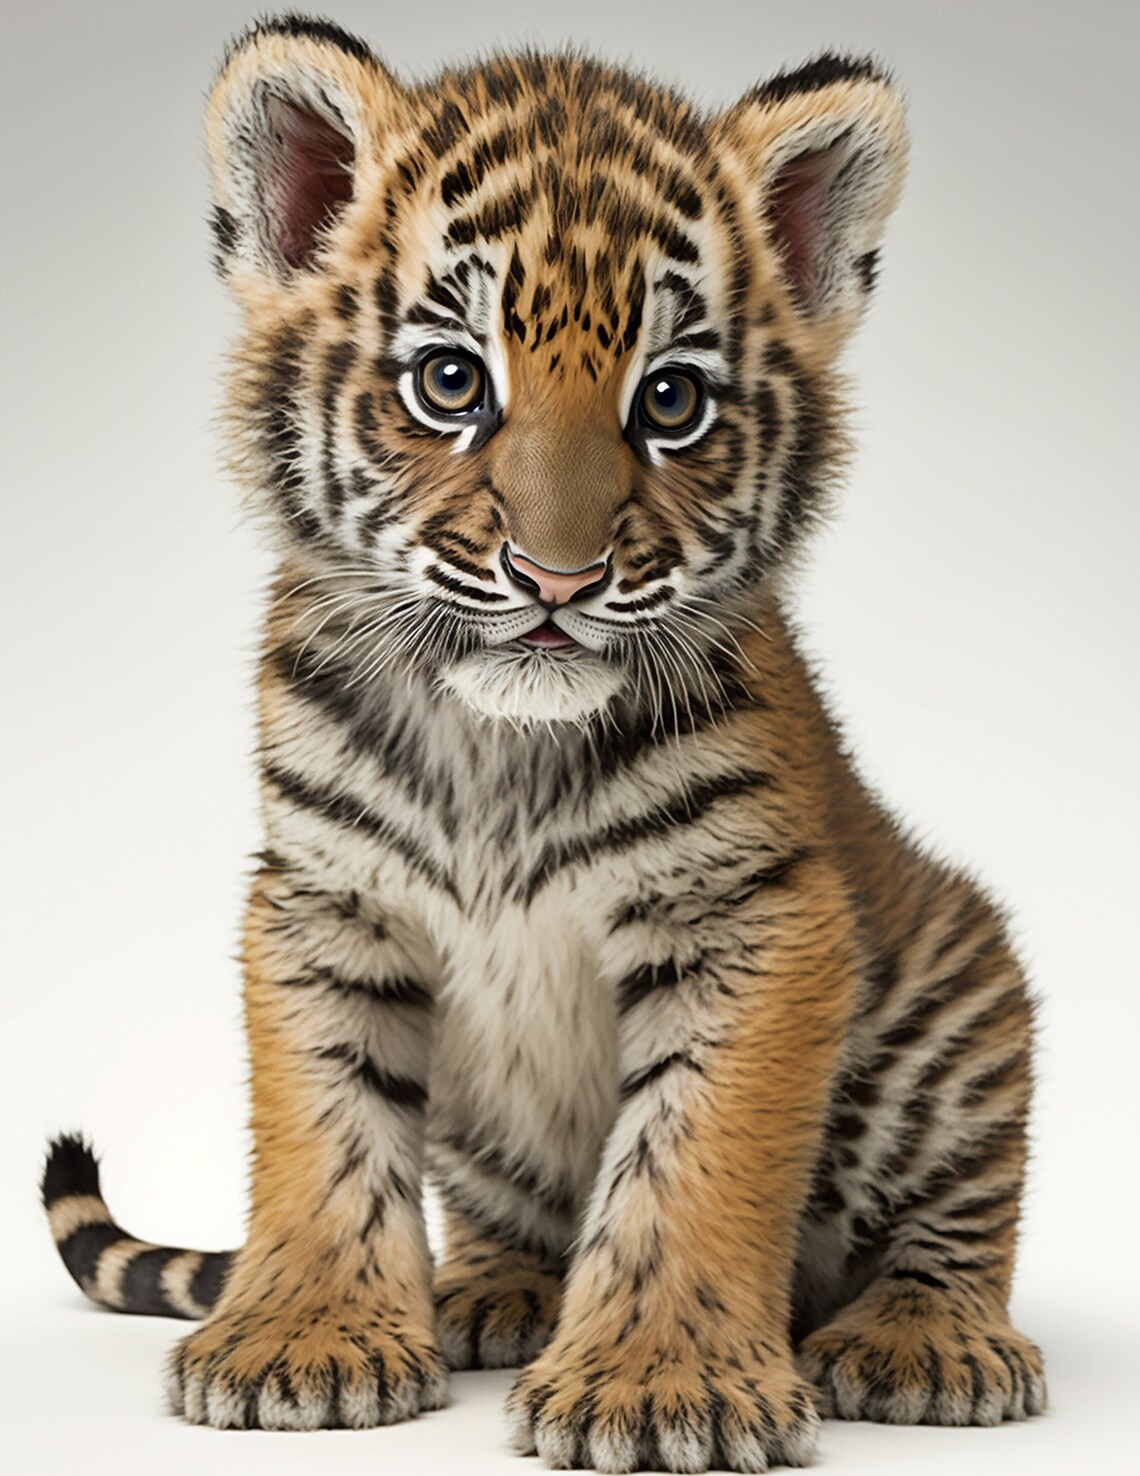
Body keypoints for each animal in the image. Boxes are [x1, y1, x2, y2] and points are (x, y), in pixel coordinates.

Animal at [41, 15, 1046, 1472]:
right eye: (452, 381)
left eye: (671, 401)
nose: (558, 579)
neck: (495, 748)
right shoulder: (320, 901)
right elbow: (322, 1127)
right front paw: (306, 1340)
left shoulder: (754, 918)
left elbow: (690, 1158)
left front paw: (665, 1385)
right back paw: (491, 1293)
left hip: (957, 1012)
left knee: (960, 1223)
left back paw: (925, 1345)